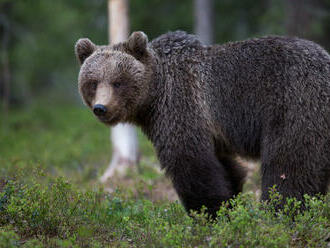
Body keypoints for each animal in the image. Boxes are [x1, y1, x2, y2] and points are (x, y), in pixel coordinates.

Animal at [75, 31, 330, 217]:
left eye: (118, 82)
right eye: (93, 82)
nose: (101, 108)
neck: (153, 97)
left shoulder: (182, 107)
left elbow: (191, 164)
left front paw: (209, 214)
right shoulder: (214, 132)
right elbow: (227, 168)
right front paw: (230, 203)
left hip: (295, 104)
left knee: (288, 165)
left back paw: (280, 212)